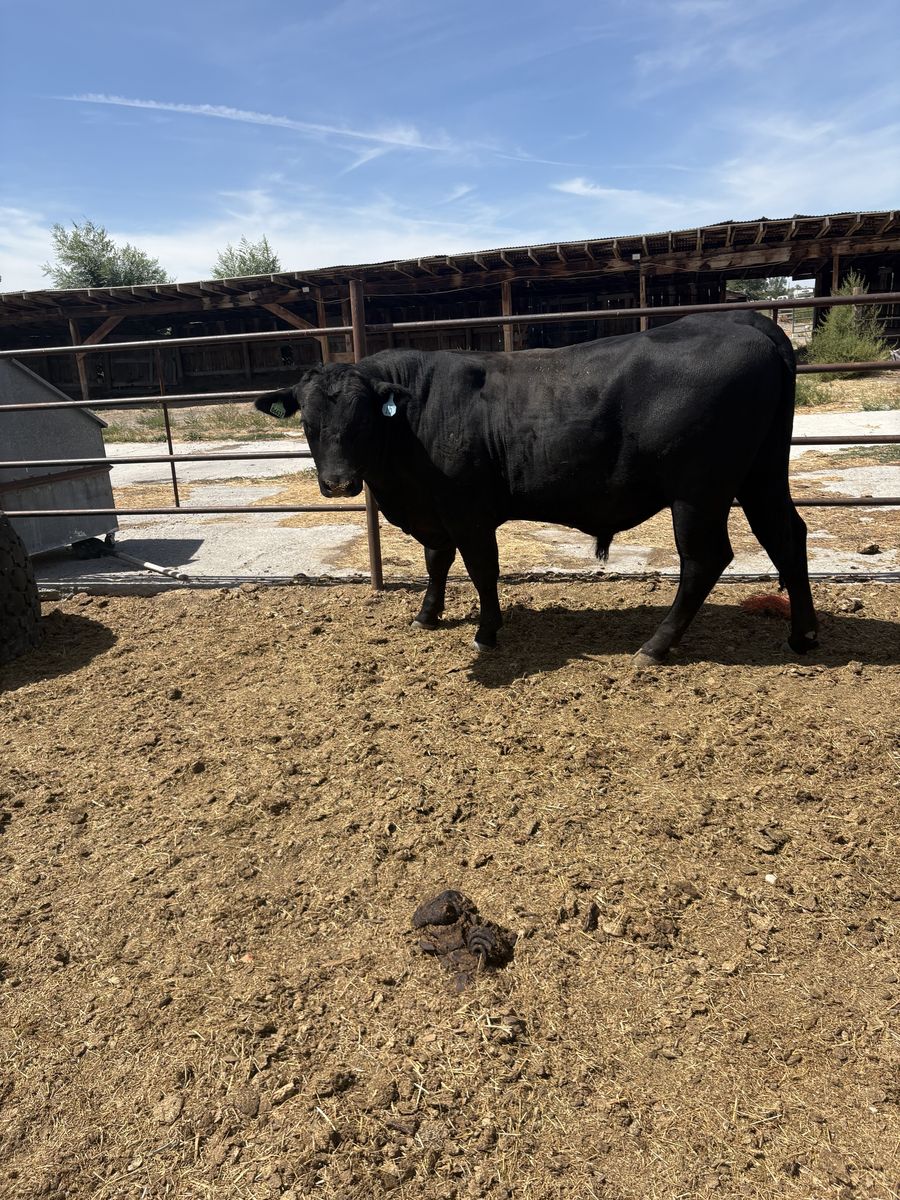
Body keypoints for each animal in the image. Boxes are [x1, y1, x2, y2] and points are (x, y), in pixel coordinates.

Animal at [255, 311, 818, 664]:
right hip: (762, 474)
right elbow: (436, 562)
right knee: (787, 536)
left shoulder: (468, 512)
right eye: (309, 420)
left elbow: (481, 570)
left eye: (362, 418)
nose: (338, 482)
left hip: (698, 492)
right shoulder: (434, 514)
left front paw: (486, 633)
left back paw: (655, 646)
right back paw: (803, 635)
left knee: (705, 559)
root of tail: (744, 321)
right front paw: (427, 615)